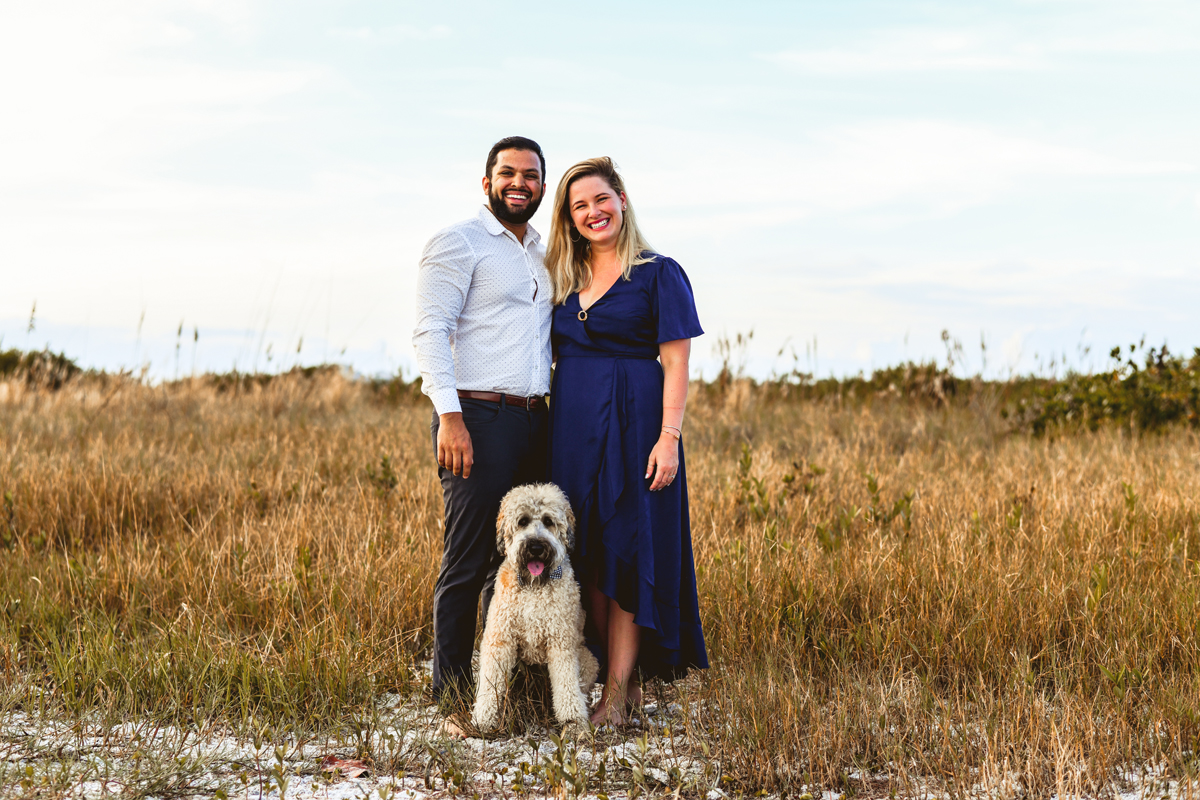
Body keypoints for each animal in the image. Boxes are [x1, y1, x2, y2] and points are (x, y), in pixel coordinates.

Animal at [470, 482, 597, 734]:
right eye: (522, 521)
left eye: (548, 521)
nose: (536, 547)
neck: (532, 586)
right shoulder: (500, 639)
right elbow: (490, 683)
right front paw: (484, 718)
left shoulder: (561, 642)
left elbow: (567, 686)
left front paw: (573, 722)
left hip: (588, 660)